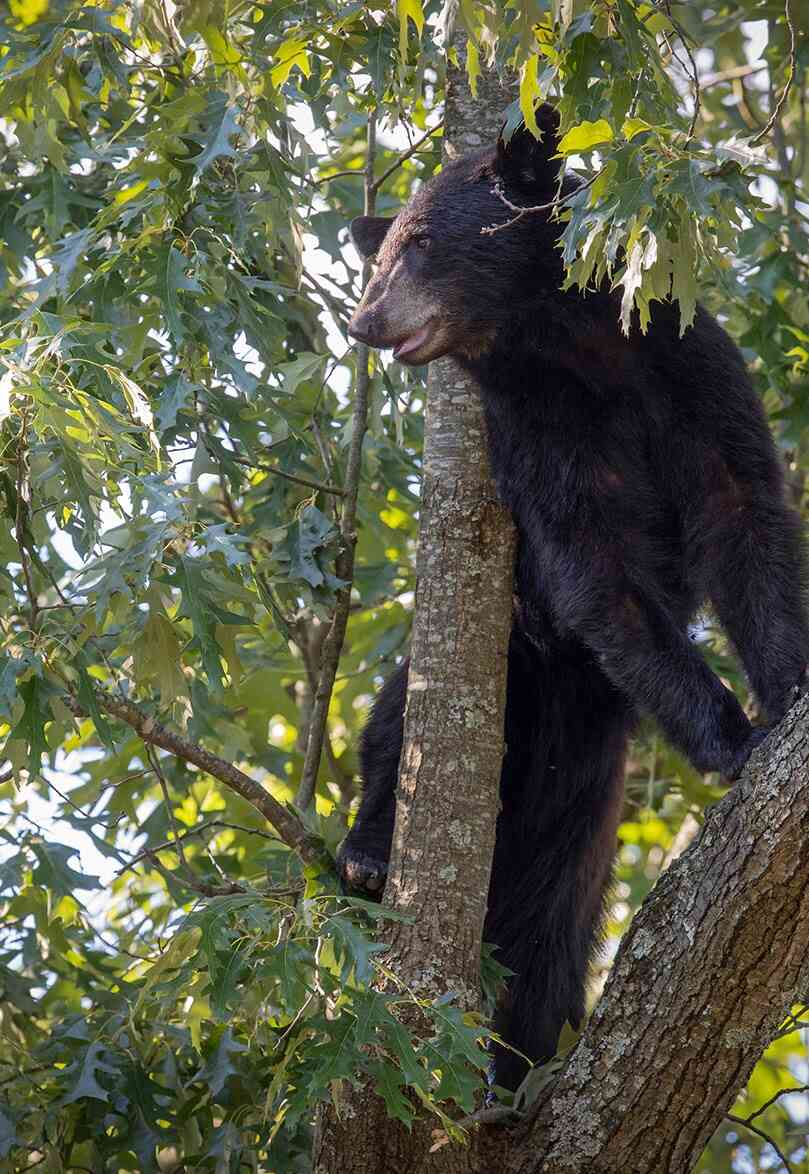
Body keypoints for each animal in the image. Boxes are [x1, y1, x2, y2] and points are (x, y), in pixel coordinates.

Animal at [339, 104, 809, 1091]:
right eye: (384, 248)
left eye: (421, 242)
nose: (363, 321)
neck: (569, 337)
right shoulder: (533, 421)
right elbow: (591, 560)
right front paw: (734, 738)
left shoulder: (684, 360)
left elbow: (740, 508)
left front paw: (783, 693)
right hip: (498, 679)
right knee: (396, 726)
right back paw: (366, 852)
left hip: (586, 796)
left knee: (550, 932)